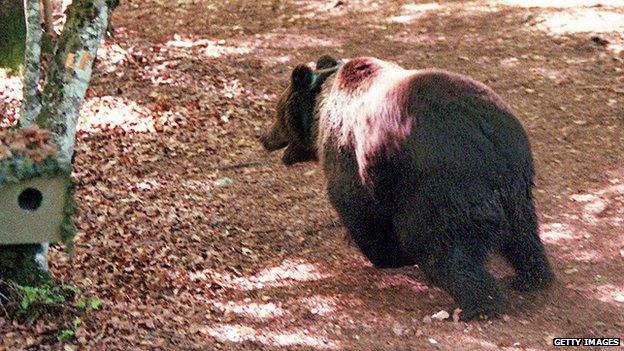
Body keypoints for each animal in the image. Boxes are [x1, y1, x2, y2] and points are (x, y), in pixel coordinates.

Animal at [260, 55, 552, 322]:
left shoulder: (351, 153)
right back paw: (532, 277)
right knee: (523, 233)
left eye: (277, 113)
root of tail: (489, 135)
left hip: (441, 183)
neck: (319, 113)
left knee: (441, 245)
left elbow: (357, 208)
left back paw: (476, 305)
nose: (263, 138)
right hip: (515, 185)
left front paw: (385, 255)